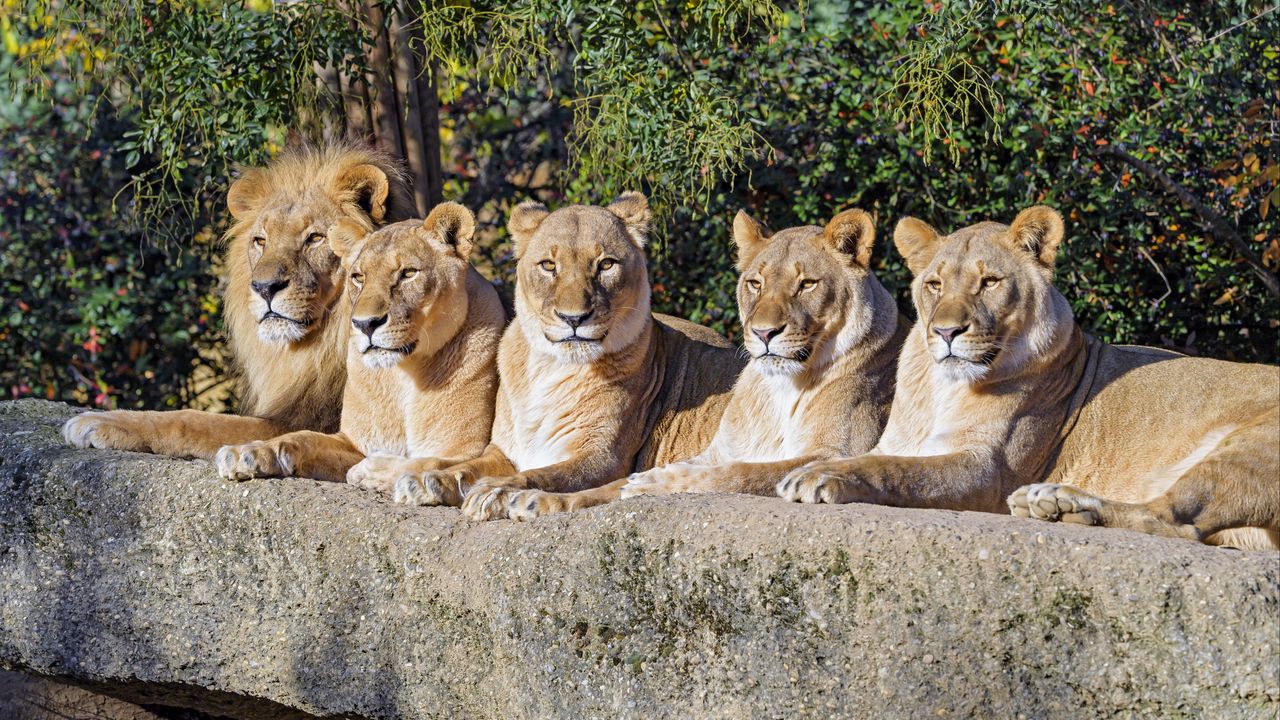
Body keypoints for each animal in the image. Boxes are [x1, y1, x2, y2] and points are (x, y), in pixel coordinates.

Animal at [62, 141, 413, 459]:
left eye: (315, 238)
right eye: (260, 241)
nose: (264, 287)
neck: (322, 345)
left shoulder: (315, 422)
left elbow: (192, 420)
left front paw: (99, 422)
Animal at [213, 203, 504, 484]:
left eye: (408, 274)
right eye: (358, 277)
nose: (365, 324)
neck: (405, 375)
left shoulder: (466, 451)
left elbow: (432, 463)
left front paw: (372, 469)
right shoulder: (351, 442)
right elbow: (300, 438)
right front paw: (247, 452)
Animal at [356, 192, 743, 518]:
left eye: (606, 265)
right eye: (548, 266)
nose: (574, 318)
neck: (551, 368)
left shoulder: (603, 457)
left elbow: (544, 473)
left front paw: (497, 492)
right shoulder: (503, 450)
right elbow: (464, 467)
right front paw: (429, 482)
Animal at [500, 207, 909, 520]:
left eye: (808, 284)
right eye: (755, 284)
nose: (764, 333)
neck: (781, 389)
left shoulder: (837, 454)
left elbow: (738, 474)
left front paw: (656, 481)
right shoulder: (717, 451)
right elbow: (611, 485)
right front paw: (539, 499)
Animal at [777, 206, 1280, 549]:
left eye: (990, 282)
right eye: (935, 284)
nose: (946, 332)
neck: (941, 389)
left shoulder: (989, 471)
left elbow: (898, 472)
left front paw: (817, 476)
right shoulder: (895, 442)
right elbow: (876, 459)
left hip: (1251, 446)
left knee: (1176, 521)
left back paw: (1063, 504)